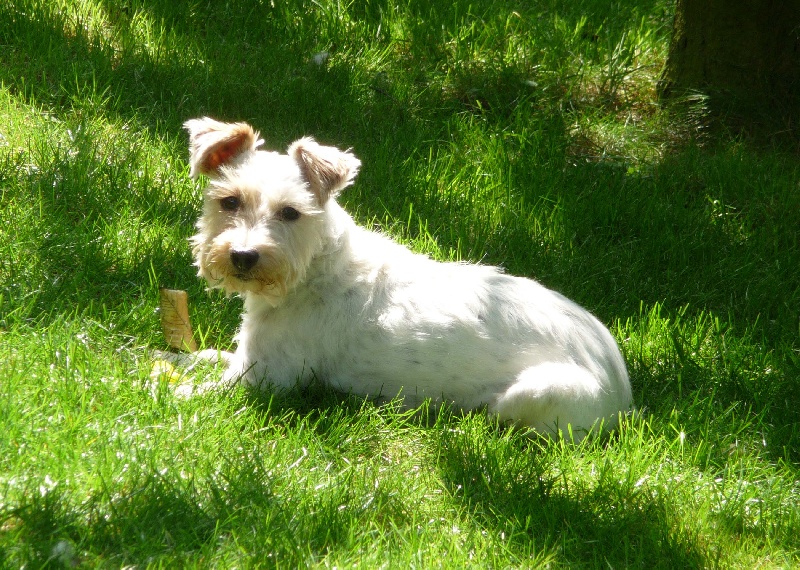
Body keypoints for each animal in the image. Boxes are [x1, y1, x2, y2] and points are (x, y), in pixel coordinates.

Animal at [181, 116, 632, 440]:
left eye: (291, 212)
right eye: (229, 201)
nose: (242, 256)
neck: (312, 270)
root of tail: (624, 398)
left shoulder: (265, 378)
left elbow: (195, 393)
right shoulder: (247, 359)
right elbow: (205, 357)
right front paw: (183, 357)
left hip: (535, 392)